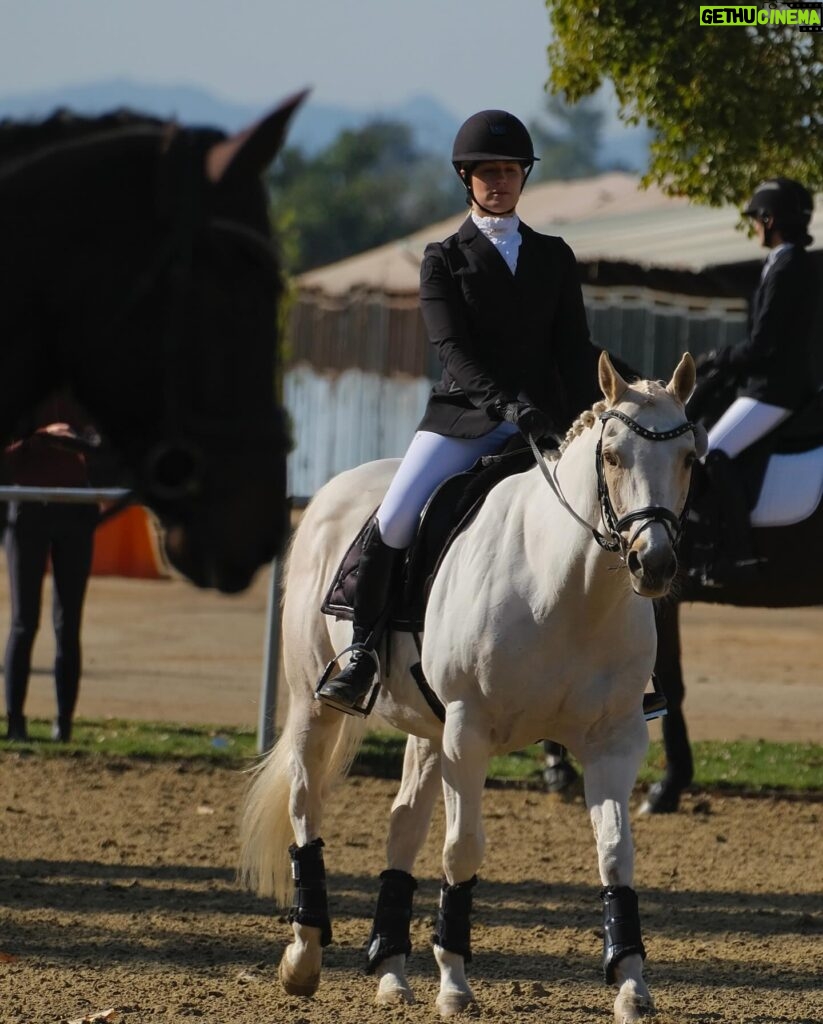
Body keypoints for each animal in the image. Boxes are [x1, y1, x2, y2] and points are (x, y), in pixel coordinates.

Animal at [241, 354, 704, 1024]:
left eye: (690, 457)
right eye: (614, 456)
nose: (656, 564)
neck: (567, 588)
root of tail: (333, 492)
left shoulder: (614, 740)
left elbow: (616, 853)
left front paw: (631, 986)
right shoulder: (469, 729)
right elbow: (462, 849)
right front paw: (454, 984)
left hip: (428, 730)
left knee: (403, 825)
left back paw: (391, 972)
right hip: (314, 705)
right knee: (307, 805)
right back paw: (303, 957)